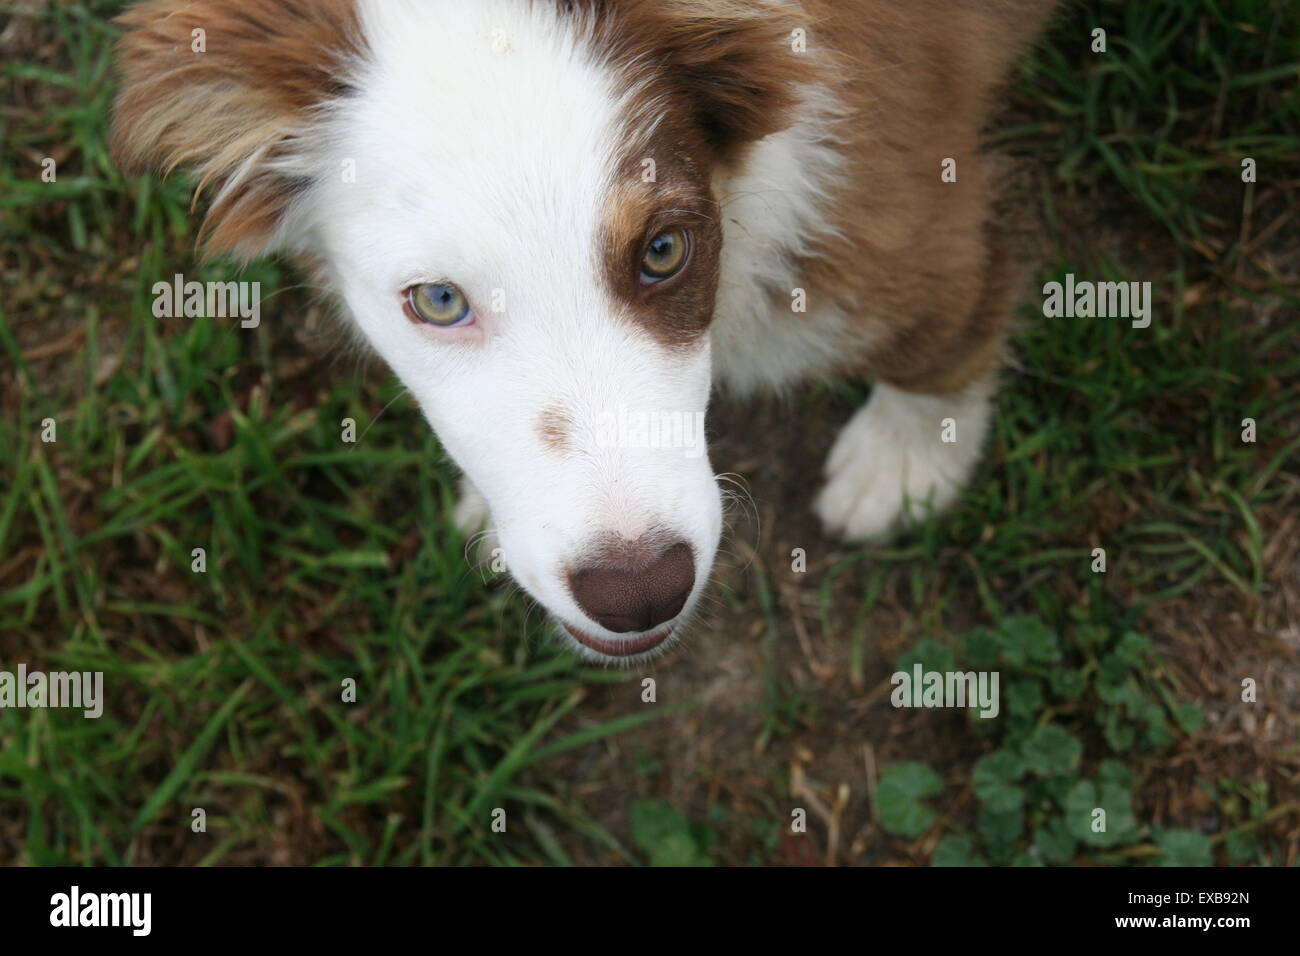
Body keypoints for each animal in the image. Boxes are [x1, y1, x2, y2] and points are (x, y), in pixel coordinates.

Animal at [111, 0, 1060, 660]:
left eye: (665, 250)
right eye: (438, 301)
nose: (638, 595)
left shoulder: (909, 223)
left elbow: (948, 336)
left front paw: (907, 467)